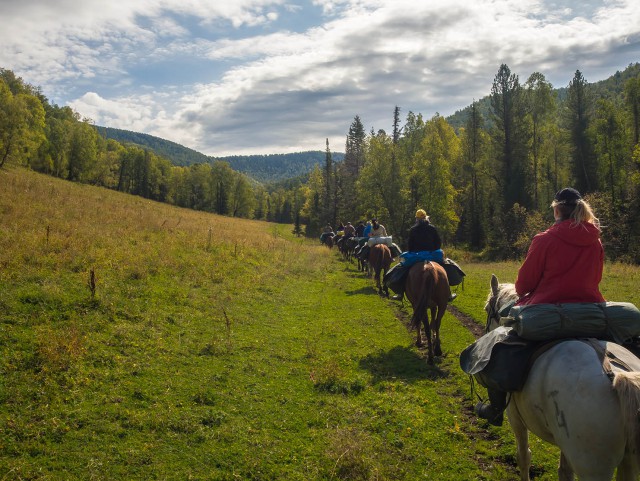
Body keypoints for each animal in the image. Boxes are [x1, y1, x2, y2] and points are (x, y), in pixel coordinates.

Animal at [488, 274, 640, 480]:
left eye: (487, 309)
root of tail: (617, 376)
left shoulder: (515, 417)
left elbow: (523, 456)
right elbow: (564, 471)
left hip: (593, 466)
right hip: (628, 462)